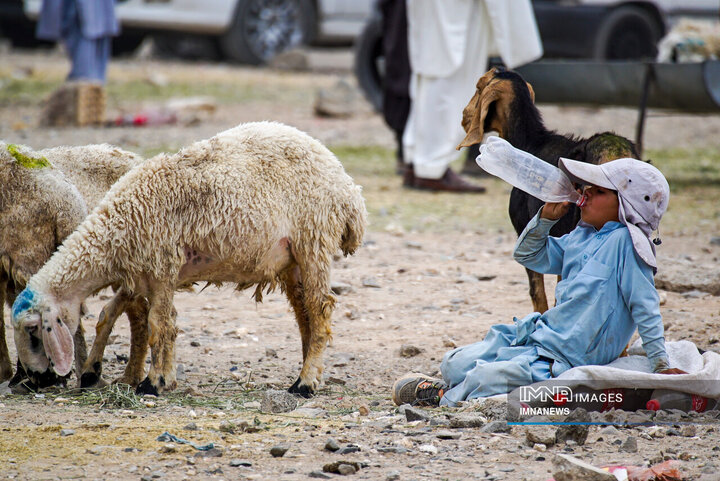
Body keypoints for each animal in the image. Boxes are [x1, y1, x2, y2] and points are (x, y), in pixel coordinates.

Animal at [458, 67, 640, 314]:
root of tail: (616, 154)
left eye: (478, 87)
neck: (530, 143)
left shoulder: (528, 229)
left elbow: (539, 294)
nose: (463, 116)